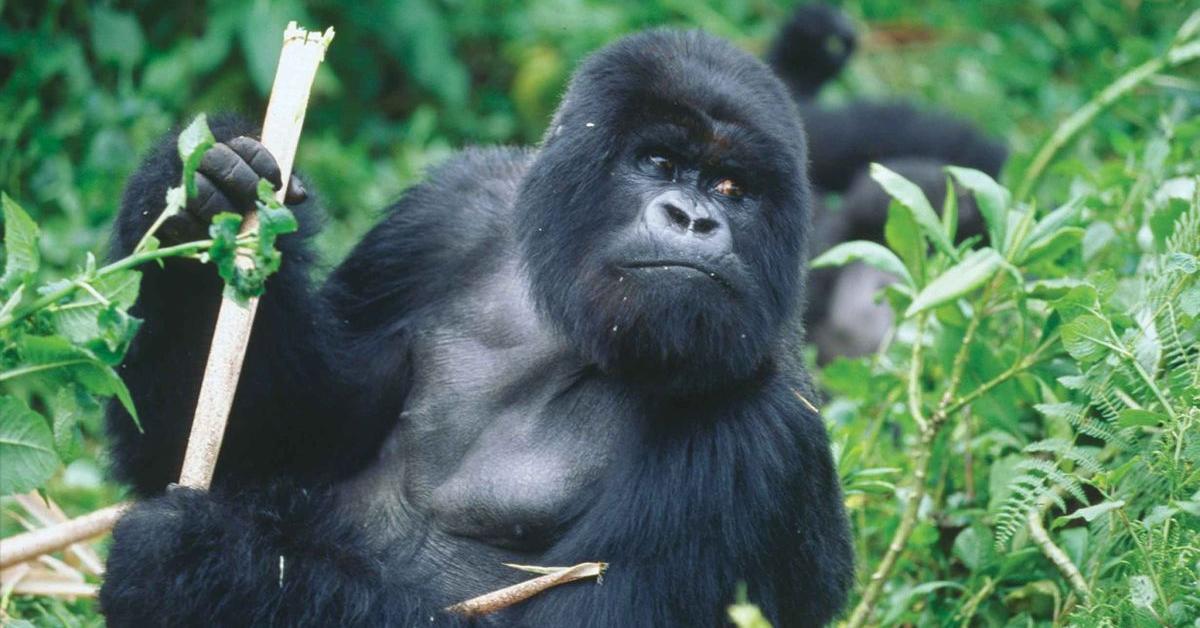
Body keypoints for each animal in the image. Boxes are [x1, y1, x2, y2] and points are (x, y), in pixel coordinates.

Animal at [100, 28, 854, 624]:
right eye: (659, 163)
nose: (694, 220)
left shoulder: (764, 434)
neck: (569, 327)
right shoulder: (442, 217)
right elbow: (263, 446)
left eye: (731, 189)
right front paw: (201, 195)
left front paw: (197, 563)